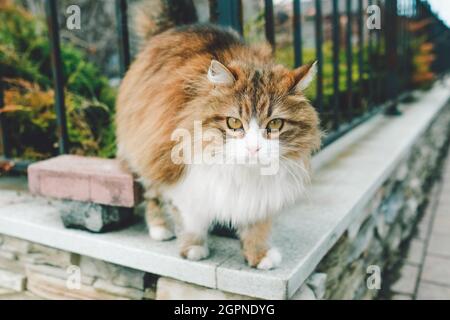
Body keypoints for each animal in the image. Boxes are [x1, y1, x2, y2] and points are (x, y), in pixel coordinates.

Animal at [116, 21, 320, 270]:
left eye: (275, 124)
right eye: (234, 123)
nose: (254, 148)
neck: (245, 172)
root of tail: (180, 27)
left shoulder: (261, 192)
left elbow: (257, 226)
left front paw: (259, 255)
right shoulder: (184, 177)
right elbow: (190, 219)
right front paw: (194, 249)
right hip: (148, 150)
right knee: (152, 194)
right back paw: (159, 229)